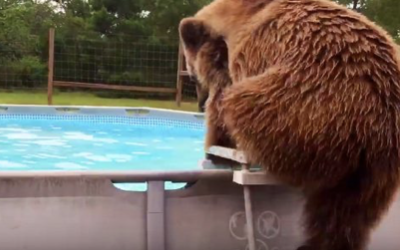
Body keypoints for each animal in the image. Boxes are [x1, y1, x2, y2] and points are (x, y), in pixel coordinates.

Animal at [180, 0, 400, 250]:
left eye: (193, 76)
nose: (199, 103)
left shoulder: (239, 56)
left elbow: (220, 100)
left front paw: (213, 150)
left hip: (301, 106)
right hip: (374, 170)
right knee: (344, 211)